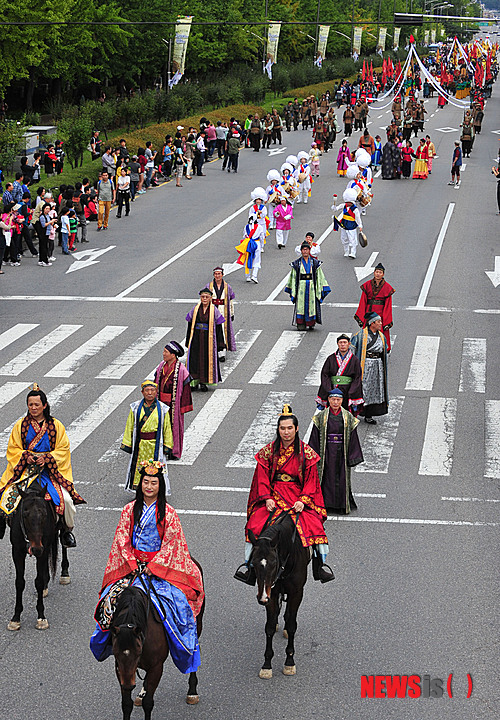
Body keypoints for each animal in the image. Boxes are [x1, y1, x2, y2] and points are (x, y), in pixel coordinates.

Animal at [111, 568, 205, 720]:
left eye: (138, 651)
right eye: (115, 652)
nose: (129, 686)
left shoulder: (156, 666)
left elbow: (148, 703)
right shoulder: (120, 668)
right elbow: (126, 704)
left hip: (198, 624)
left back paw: (192, 692)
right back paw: (140, 694)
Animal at [248, 516, 310, 676]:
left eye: (273, 562)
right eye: (253, 562)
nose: (262, 598)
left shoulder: (296, 593)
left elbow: (292, 625)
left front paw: (289, 662)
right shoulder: (272, 592)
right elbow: (269, 627)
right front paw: (267, 665)